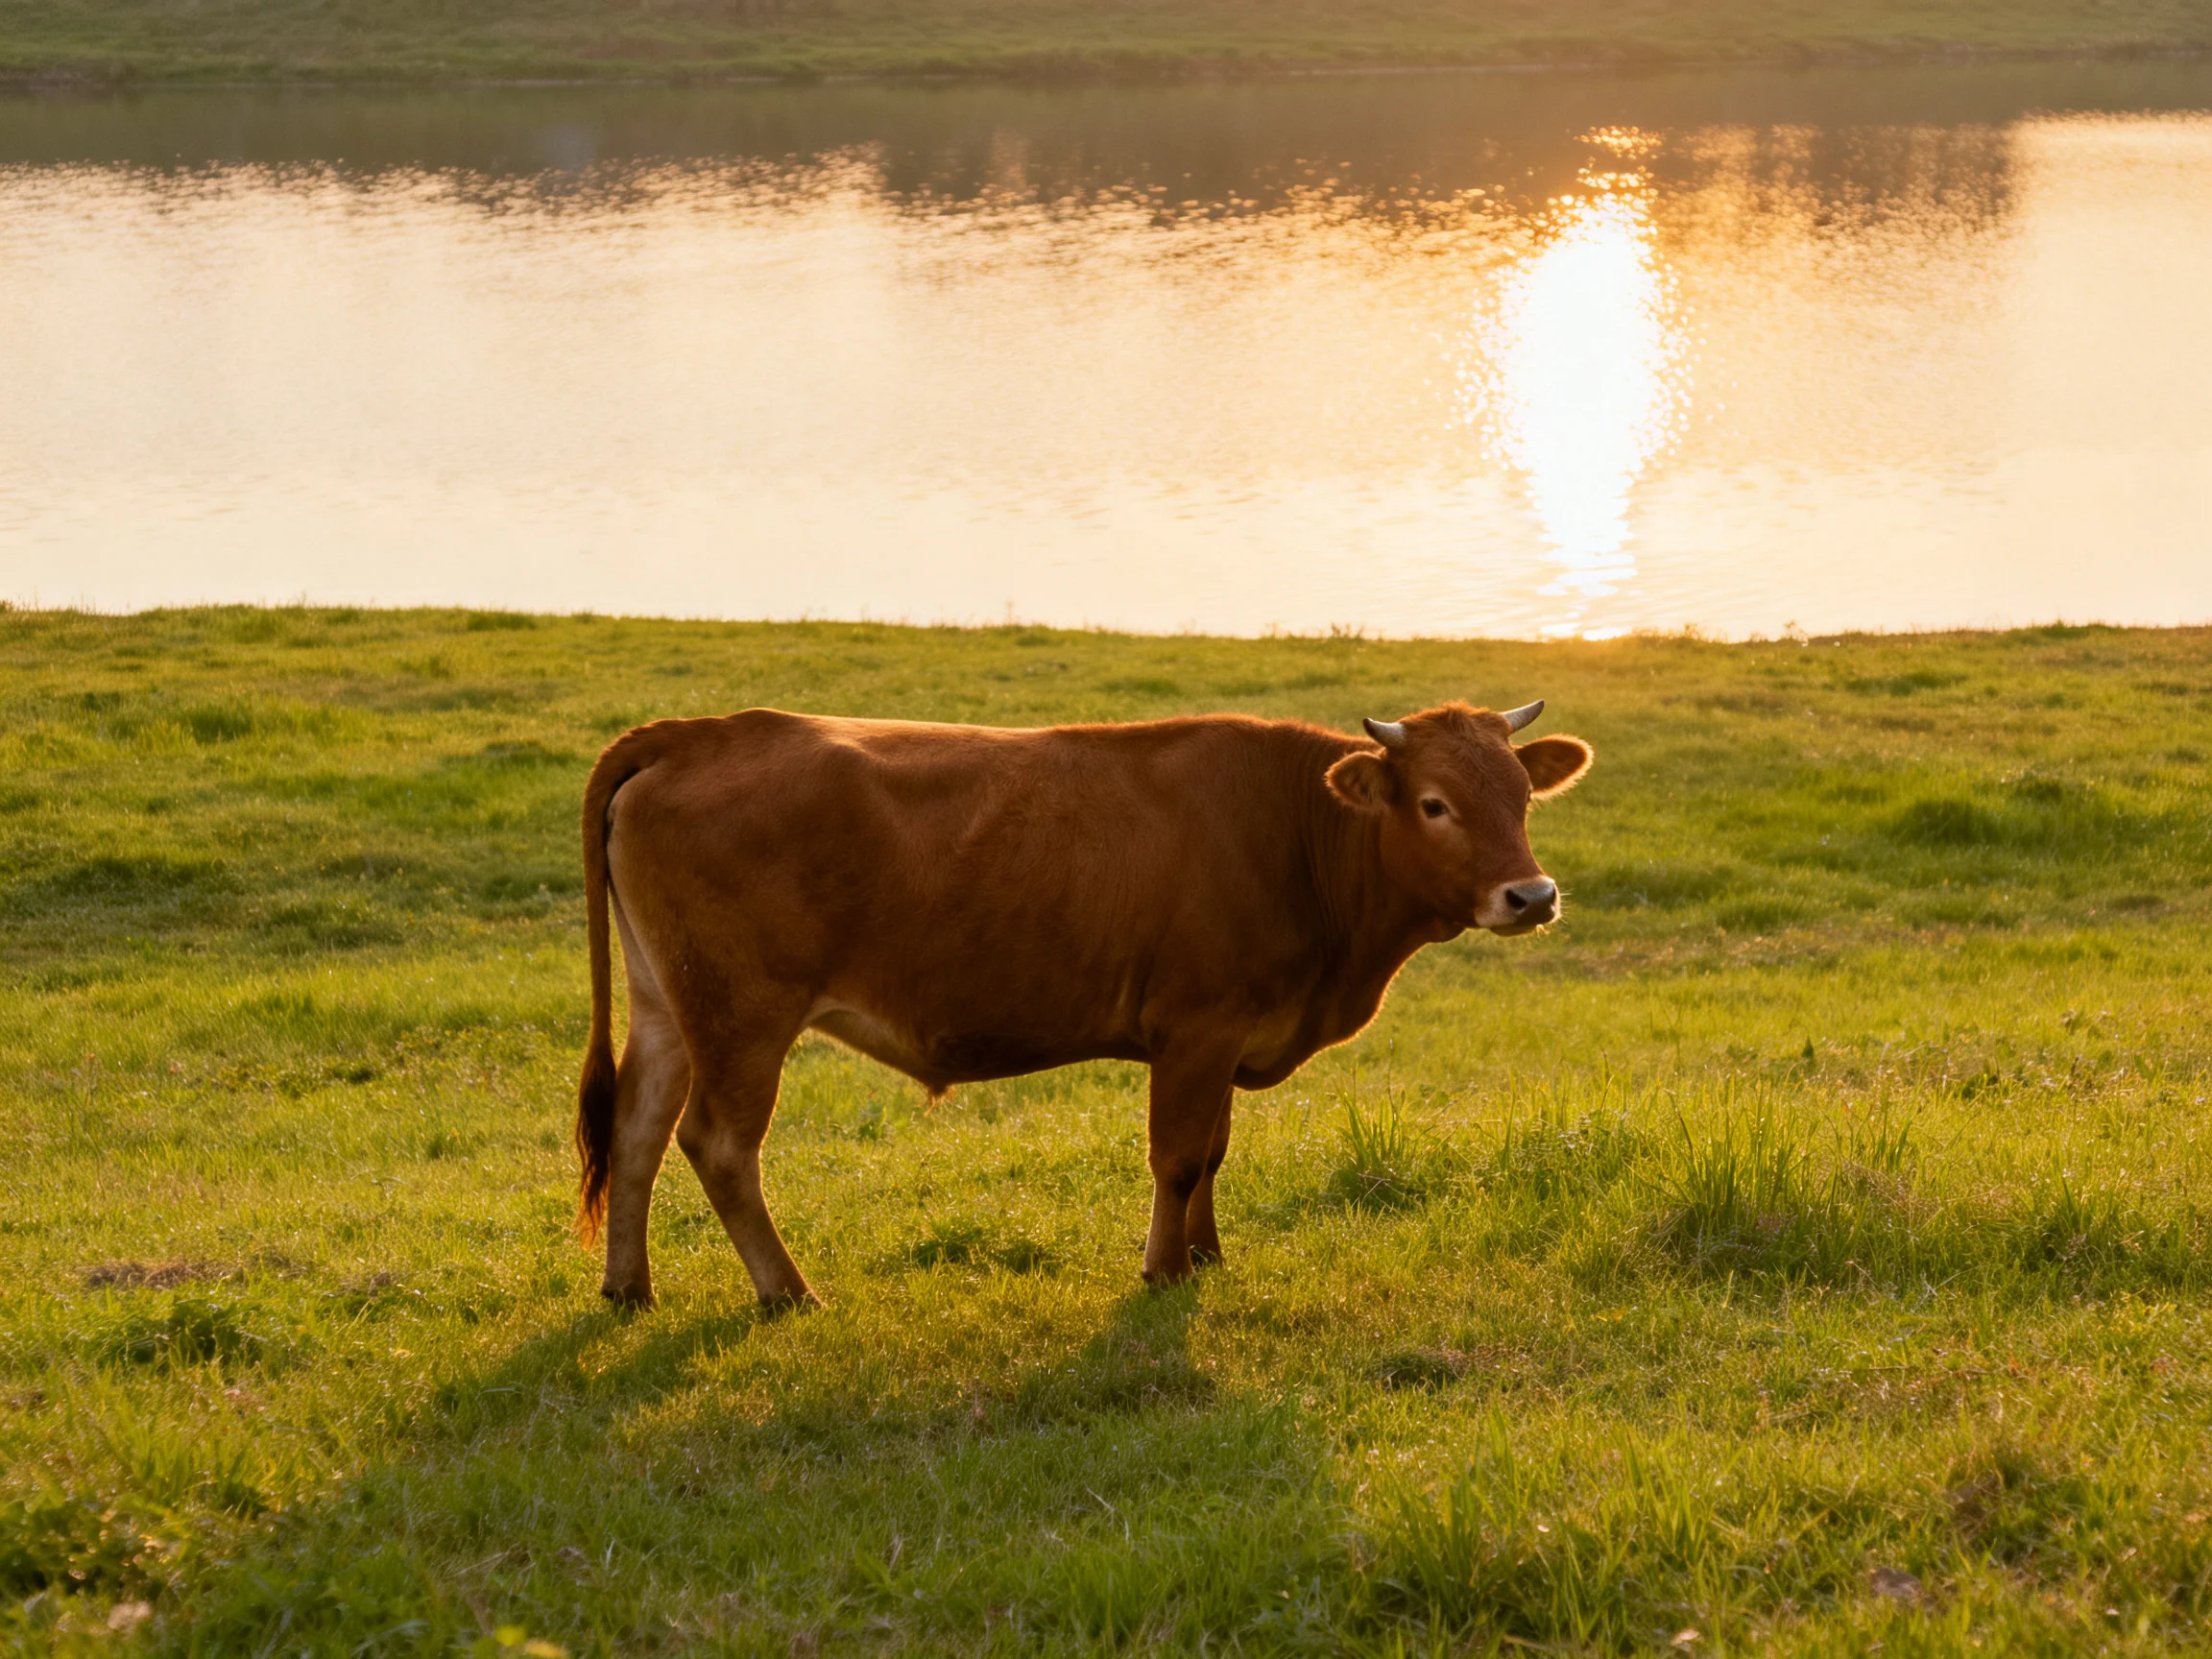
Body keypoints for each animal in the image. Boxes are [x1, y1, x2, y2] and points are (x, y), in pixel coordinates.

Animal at [574, 698, 1592, 1308]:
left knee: (637, 1131)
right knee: (718, 1145)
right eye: (1434, 803)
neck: (1298, 833)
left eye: (1520, 795)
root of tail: (702, 730)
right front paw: (1164, 1270)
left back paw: (629, 1287)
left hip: (668, 1005)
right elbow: (1178, 1159)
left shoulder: (1224, 1039)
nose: (1532, 896)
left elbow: (1213, 1154)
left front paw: (1207, 1258)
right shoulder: (1197, 1029)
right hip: (743, 1016)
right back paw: (786, 1291)